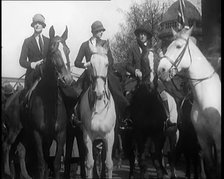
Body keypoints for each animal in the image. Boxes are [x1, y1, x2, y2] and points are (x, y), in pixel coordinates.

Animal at [2, 25, 72, 179]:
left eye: (68, 50)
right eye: (52, 51)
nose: (67, 79)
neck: (49, 101)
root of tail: (9, 99)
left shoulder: (59, 135)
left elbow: (54, 164)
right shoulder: (38, 135)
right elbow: (41, 164)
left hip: (24, 133)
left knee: (20, 150)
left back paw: (24, 174)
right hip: (14, 129)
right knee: (7, 145)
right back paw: (7, 172)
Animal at [79, 41, 115, 178]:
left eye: (107, 64)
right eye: (91, 64)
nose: (99, 92)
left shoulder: (110, 136)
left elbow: (109, 164)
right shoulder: (87, 136)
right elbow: (89, 163)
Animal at [157, 26, 221, 179]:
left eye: (178, 46)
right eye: (168, 46)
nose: (160, 70)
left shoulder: (218, 138)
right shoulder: (203, 139)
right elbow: (210, 168)